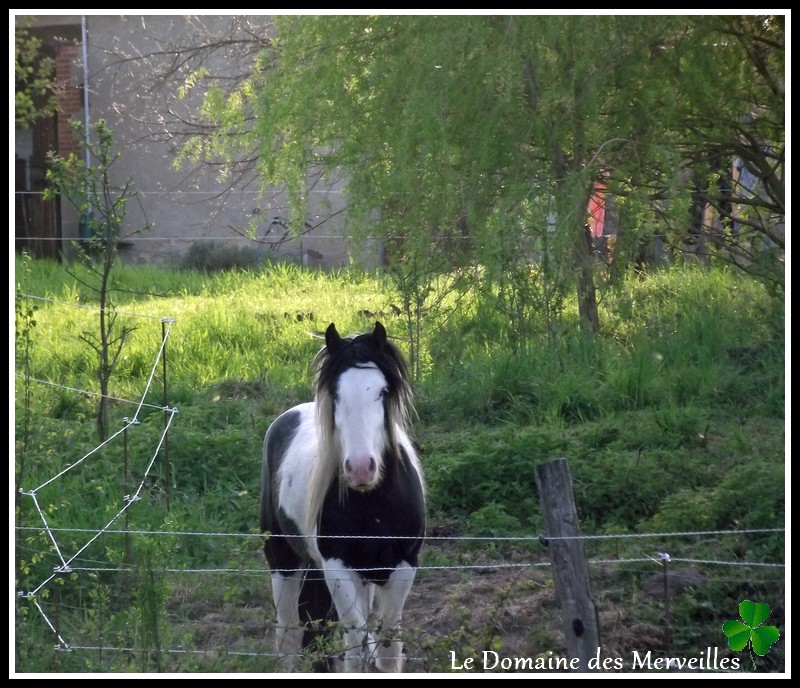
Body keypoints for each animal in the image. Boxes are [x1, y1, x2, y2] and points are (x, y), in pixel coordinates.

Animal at [260, 322, 424, 672]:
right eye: (335, 394)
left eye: (382, 392)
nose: (361, 469)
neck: (375, 508)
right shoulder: (337, 567)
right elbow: (354, 644)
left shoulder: (403, 566)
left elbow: (387, 647)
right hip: (283, 560)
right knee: (288, 635)